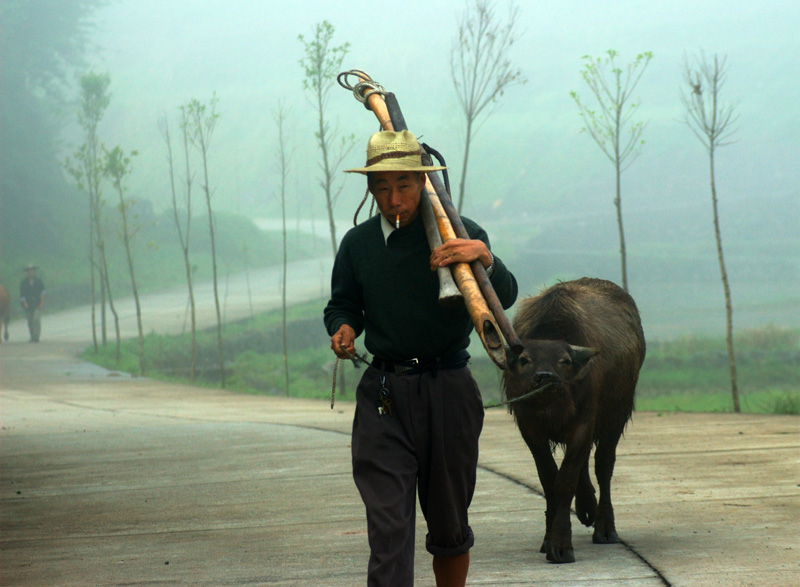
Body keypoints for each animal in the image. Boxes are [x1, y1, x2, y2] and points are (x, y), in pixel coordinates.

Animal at [504, 280, 648, 564]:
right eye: (525, 360)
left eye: (565, 361)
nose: (545, 377)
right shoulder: (530, 427)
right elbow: (549, 478)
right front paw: (548, 539)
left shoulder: (584, 422)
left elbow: (566, 479)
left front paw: (560, 545)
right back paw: (587, 508)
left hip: (615, 417)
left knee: (603, 466)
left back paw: (605, 527)